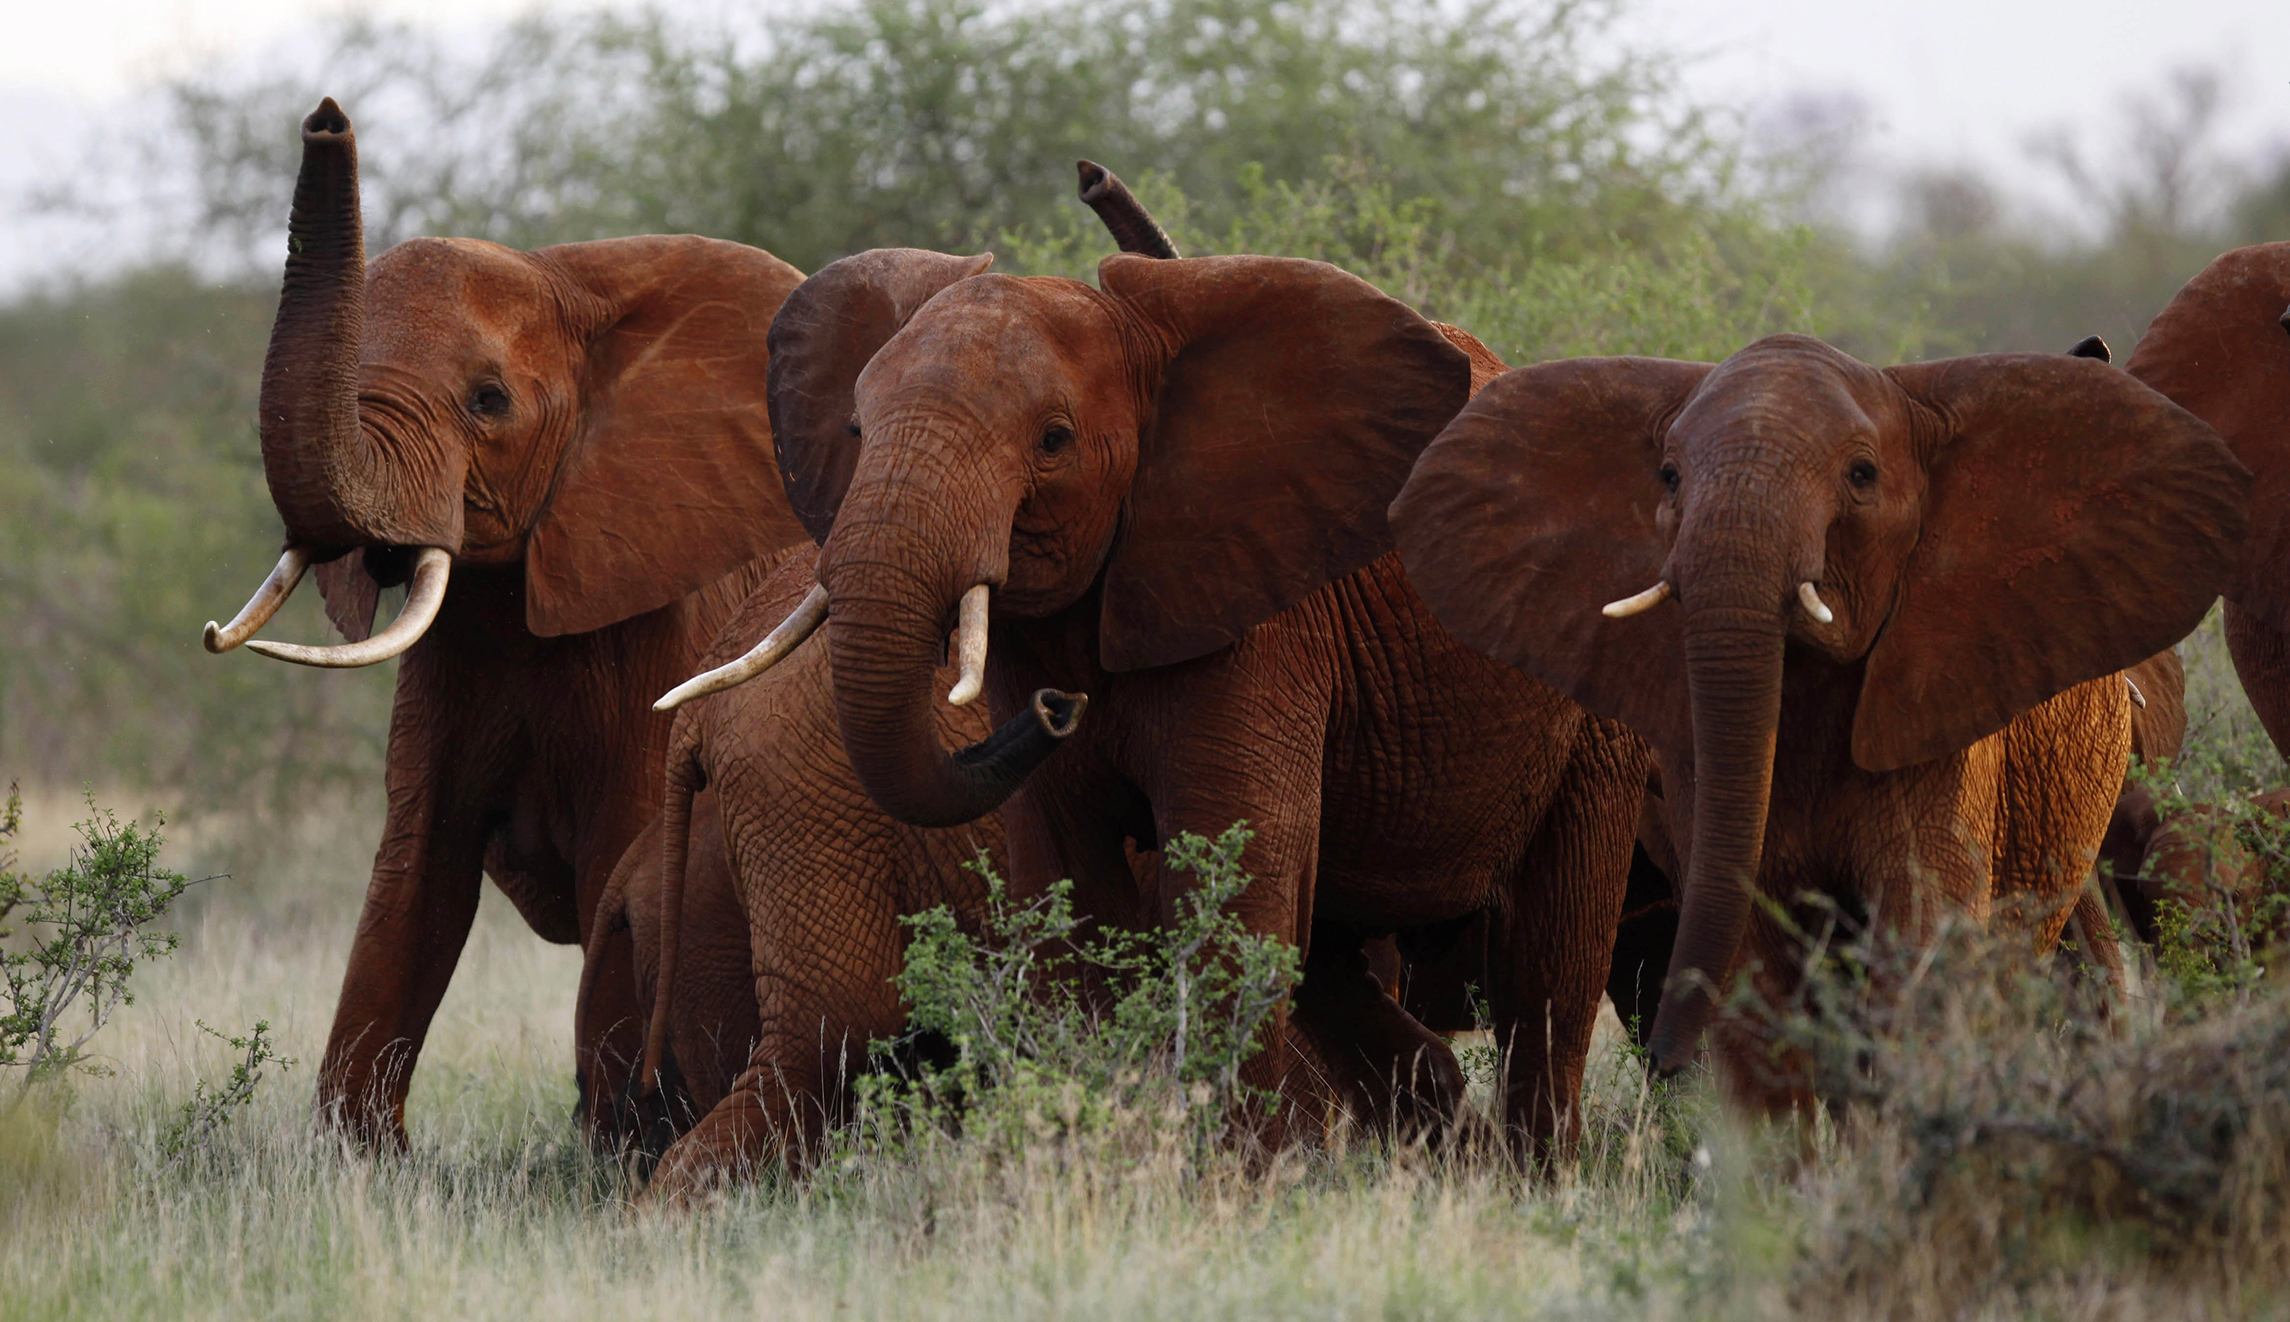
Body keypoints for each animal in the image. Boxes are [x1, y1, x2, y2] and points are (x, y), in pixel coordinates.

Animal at [199, 99, 811, 1149]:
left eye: (488, 402)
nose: (327, 117)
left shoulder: (664, 625)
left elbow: (621, 862)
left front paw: (612, 1153)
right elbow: (415, 876)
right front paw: (361, 1163)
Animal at [678, 245, 1653, 1157]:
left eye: (1055, 440)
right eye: (854, 426)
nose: (1055, 710)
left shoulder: (1258, 616)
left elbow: (1232, 887)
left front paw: (1238, 1185)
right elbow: (1069, 897)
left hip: (1594, 694)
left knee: (1552, 968)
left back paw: (1531, 1177)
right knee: (1340, 961)